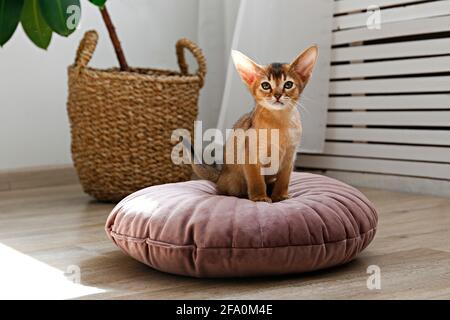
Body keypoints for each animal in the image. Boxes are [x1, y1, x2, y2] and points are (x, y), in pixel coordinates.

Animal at [190, 45, 320, 202]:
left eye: (288, 84)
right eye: (265, 85)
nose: (277, 95)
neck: (279, 122)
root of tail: (220, 175)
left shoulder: (290, 157)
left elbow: (284, 180)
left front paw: (280, 196)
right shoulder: (250, 154)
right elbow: (256, 180)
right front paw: (260, 197)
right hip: (234, 184)